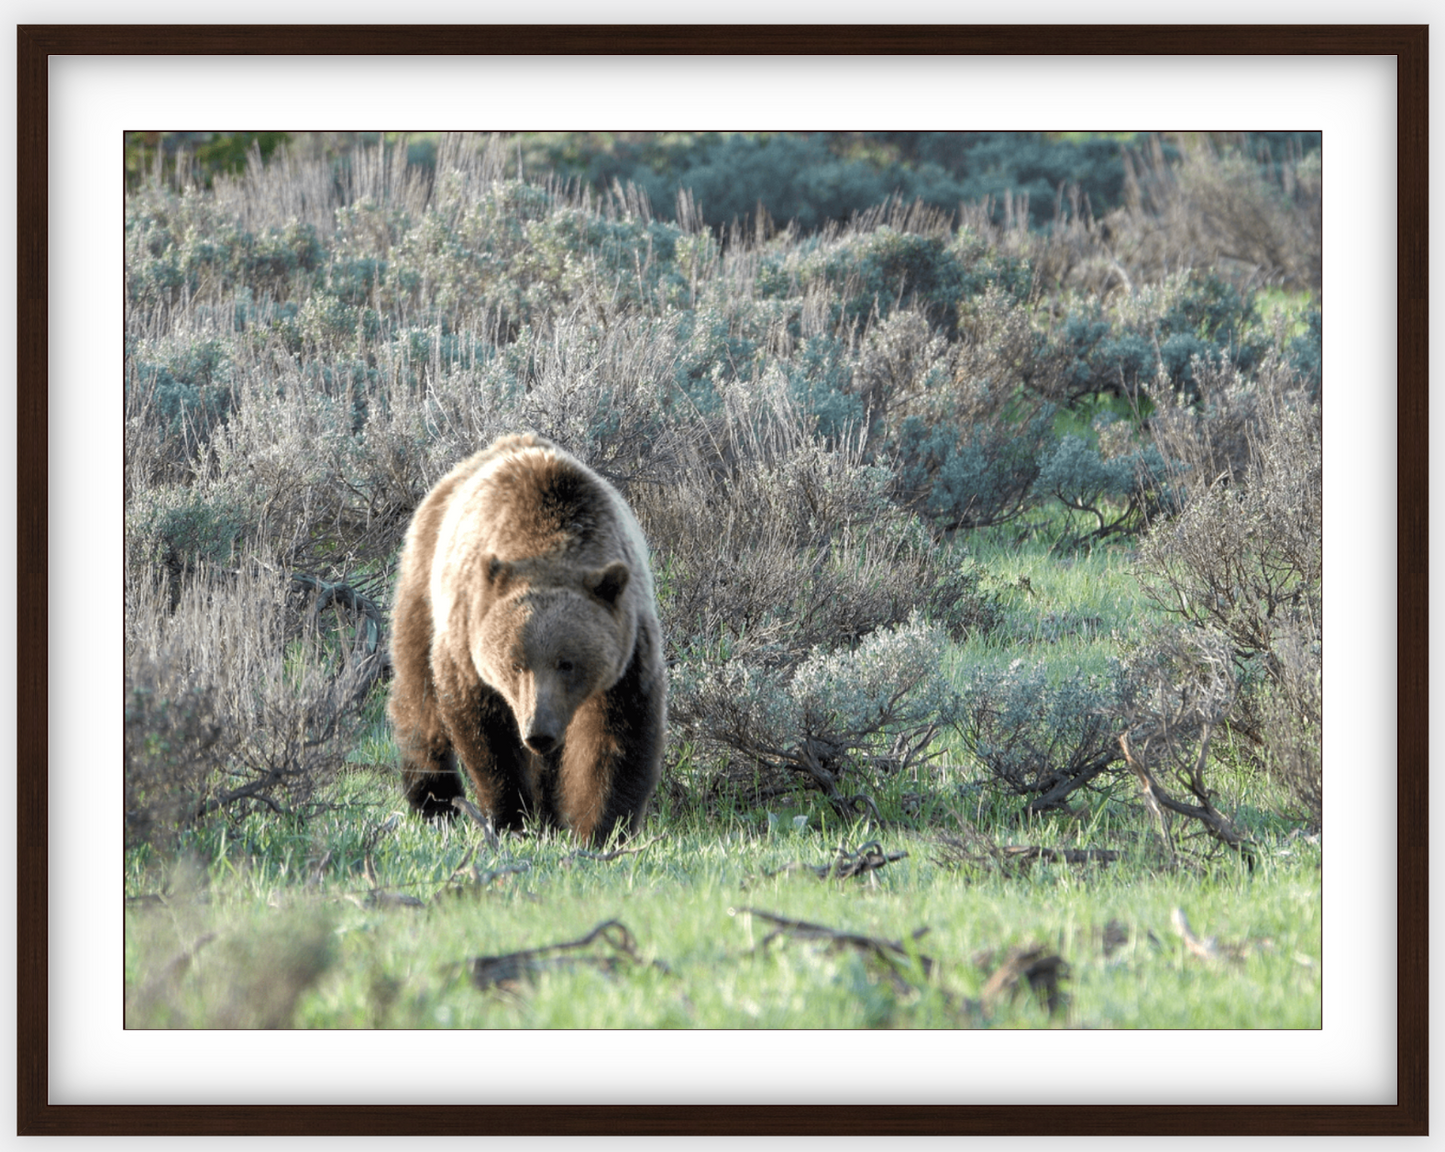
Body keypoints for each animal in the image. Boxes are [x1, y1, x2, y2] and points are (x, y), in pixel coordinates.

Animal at [387, 433, 666, 845]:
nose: (538, 731)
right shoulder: (470, 638)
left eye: (567, 663)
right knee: (418, 691)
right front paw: (509, 818)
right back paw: (434, 799)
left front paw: (602, 829)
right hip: (423, 583)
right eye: (515, 663)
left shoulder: (627, 649)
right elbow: (488, 735)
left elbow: (617, 737)